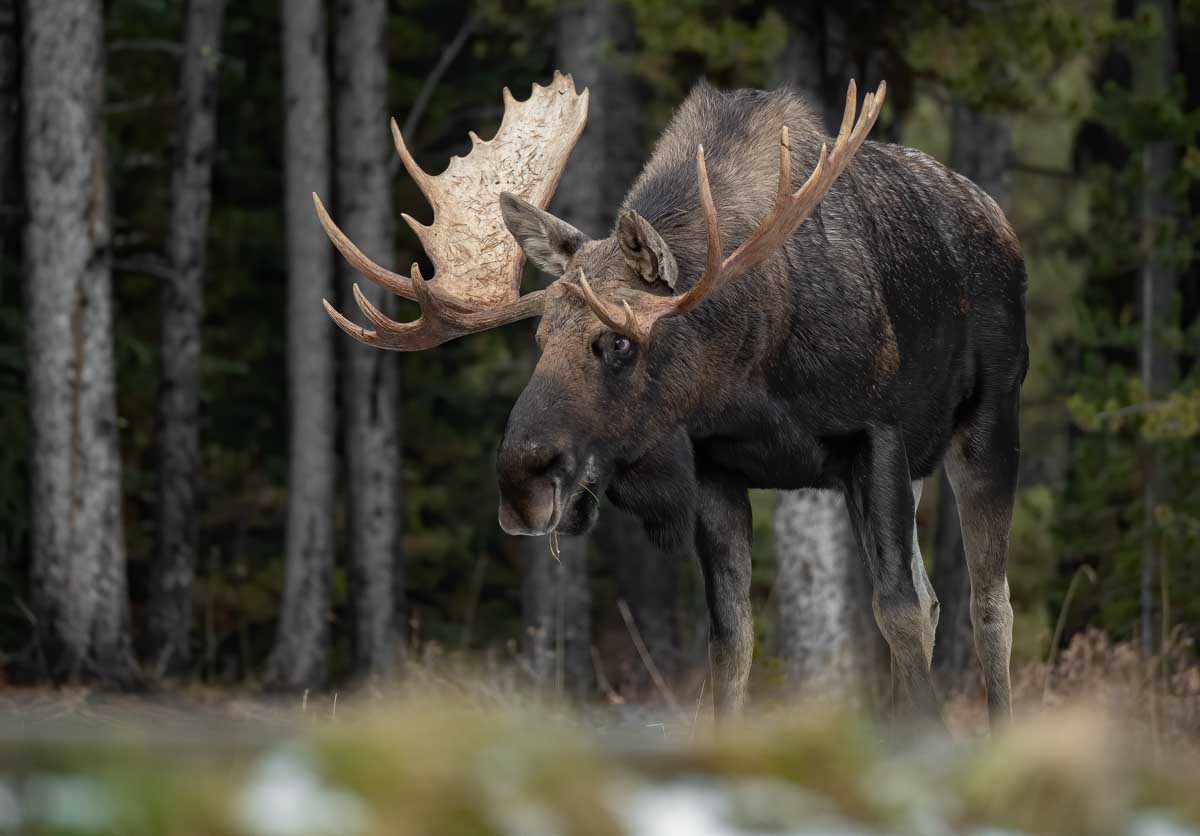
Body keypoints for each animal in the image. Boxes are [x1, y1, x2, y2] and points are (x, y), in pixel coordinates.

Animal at [314, 71, 1028, 728]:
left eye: (619, 341)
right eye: (541, 338)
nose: (521, 483)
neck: (751, 369)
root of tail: (997, 218)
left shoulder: (874, 434)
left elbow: (898, 613)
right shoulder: (714, 466)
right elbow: (731, 640)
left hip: (987, 424)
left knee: (988, 604)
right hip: (918, 465)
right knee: (938, 599)